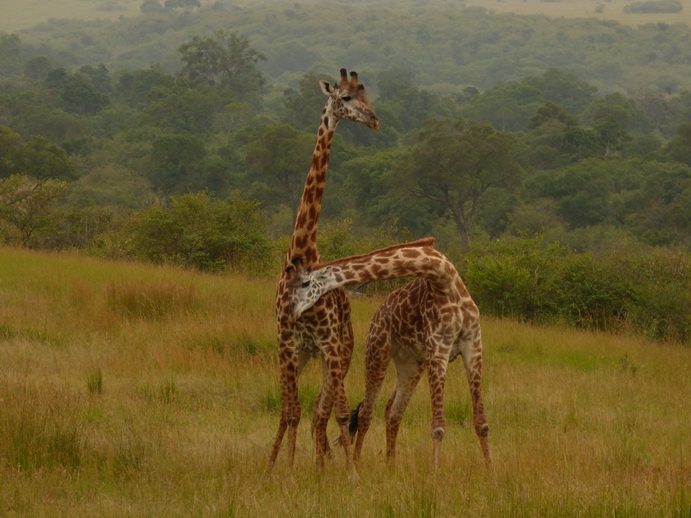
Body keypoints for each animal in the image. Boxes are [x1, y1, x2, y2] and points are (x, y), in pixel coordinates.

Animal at [268, 68, 379, 477]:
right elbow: (290, 412)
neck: (302, 253)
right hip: (305, 355)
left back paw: (326, 465)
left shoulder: (329, 344)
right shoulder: (286, 342)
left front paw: (351, 476)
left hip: (340, 355)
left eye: (367, 96)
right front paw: (280, 472)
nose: (374, 120)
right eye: (344, 98)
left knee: (326, 412)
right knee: (304, 412)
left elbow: (338, 413)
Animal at [285, 238, 493, 470]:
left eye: (304, 283)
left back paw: (390, 465)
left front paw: (490, 470)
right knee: (366, 413)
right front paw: (436, 473)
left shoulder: (473, 345)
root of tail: (377, 314)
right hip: (377, 353)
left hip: (411, 364)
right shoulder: (439, 349)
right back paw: (357, 462)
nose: (291, 311)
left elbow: (482, 422)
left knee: (393, 412)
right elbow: (438, 426)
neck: (444, 278)